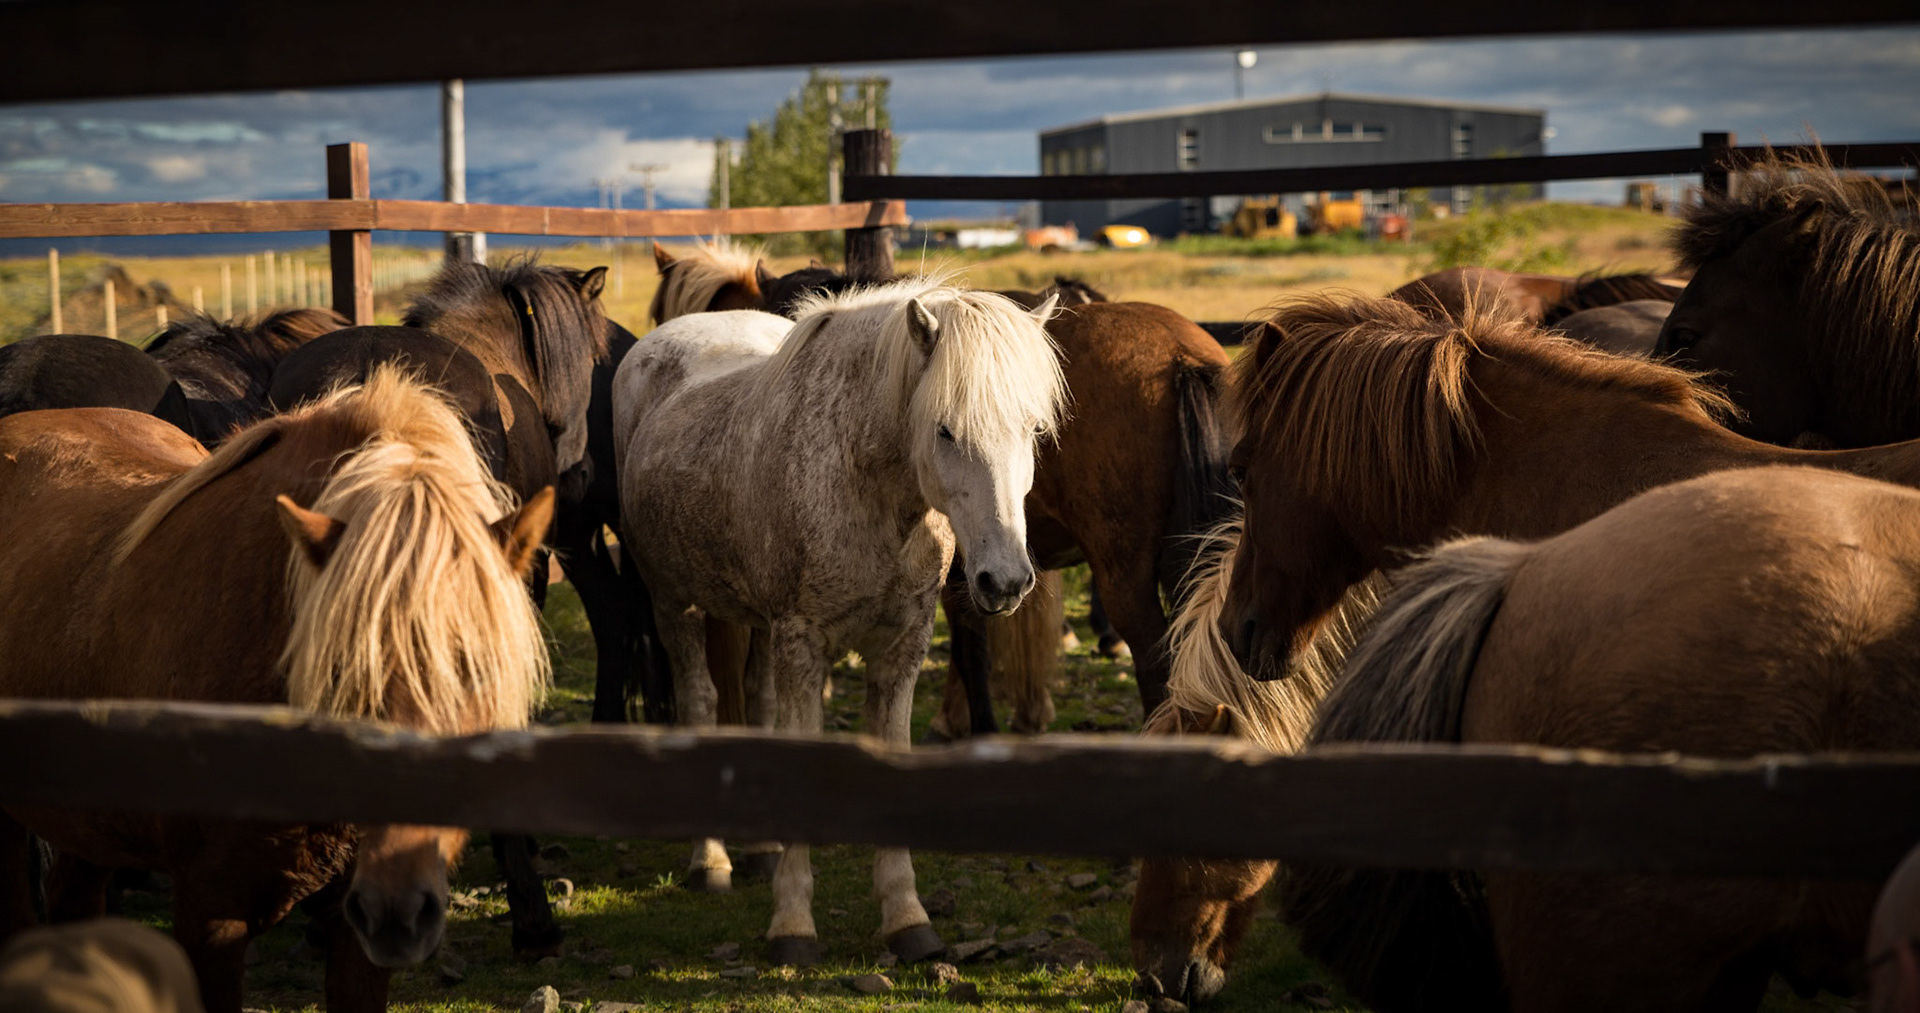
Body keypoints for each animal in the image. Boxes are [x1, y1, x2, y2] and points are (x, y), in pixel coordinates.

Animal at [613, 278, 1065, 965]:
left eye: (1034, 428)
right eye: (944, 430)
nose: (1006, 581)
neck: (865, 485)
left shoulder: (900, 652)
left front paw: (907, 918)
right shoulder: (802, 643)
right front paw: (793, 927)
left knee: (758, 702)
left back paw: (762, 852)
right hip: (673, 603)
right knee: (700, 698)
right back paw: (710, 861)